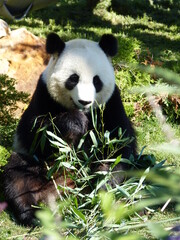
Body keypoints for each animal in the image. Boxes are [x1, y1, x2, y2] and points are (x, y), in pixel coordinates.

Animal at [2, 32, 136, 226]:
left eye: (97, 81)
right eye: (73, 78)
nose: (85, 102)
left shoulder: (111, 104)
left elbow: (119, 146)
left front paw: (102, 186)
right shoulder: (43, 94)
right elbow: (33, 132)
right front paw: (75, 123)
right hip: (35, 168)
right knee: (17, 178)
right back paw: (32, 214)